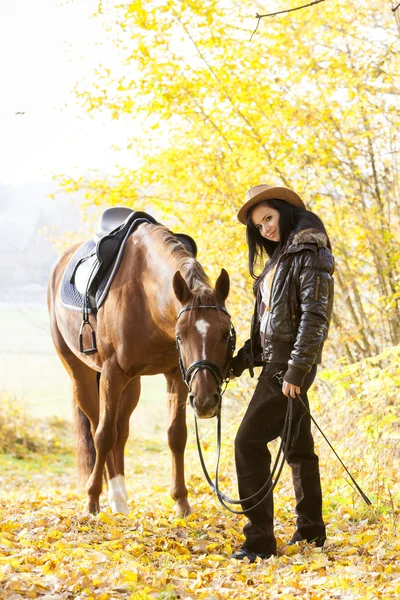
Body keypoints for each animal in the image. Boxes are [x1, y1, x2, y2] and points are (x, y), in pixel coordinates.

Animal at [48, 223, 230, 512]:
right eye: (181, 336)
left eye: (225, 334)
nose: (205, 401)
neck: (145, 293)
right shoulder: (112, 373)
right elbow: (103, 435)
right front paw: (91, 500)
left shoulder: (176, 376)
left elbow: (176, 435)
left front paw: (182, 502)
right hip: (82, 377)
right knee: (99, 427)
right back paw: (109, 496)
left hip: (132, 385)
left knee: (121, 432)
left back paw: (120, 497)